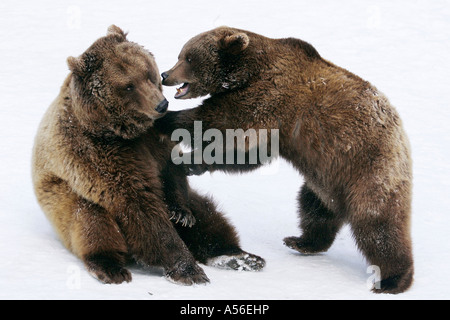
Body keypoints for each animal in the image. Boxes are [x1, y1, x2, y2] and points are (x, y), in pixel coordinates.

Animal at [32, 25, 264, 284]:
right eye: (127, 86)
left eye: (147, 72)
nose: (161, 105)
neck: (120, 130)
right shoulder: (97, 152)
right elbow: (140, 206)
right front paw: (188, 270)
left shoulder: (156, 138)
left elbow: (171, 171)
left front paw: (180, 215)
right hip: (65, 202)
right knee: (93, 222)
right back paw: (110, 267)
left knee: (209, 217)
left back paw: (237, 256)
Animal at [156, 26, 414, 294]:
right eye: (181, 54)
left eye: (188, 58)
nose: (165, 75)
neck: (246, 71)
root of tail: (402, 138)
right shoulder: (274, 127)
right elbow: (245, 152)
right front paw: (191, 162)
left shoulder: (267, 96)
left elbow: (217, 120)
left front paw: (167, 120)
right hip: (325, 181)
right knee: (314, 209)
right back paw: (302, 241)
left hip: (368, 169)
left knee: (377, 226)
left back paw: (392, 280)